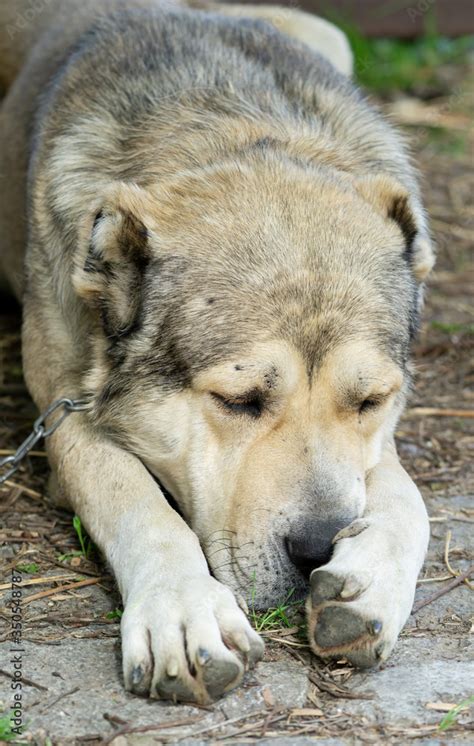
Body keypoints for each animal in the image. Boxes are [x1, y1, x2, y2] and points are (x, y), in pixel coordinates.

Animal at [0, 0, 436, 696]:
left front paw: (371, 577)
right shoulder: (67, 410)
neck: (236, 127)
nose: (320, 549)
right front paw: (183, 609)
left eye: (370, 400)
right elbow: (136, 501)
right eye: (238, 399)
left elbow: (405, 493)